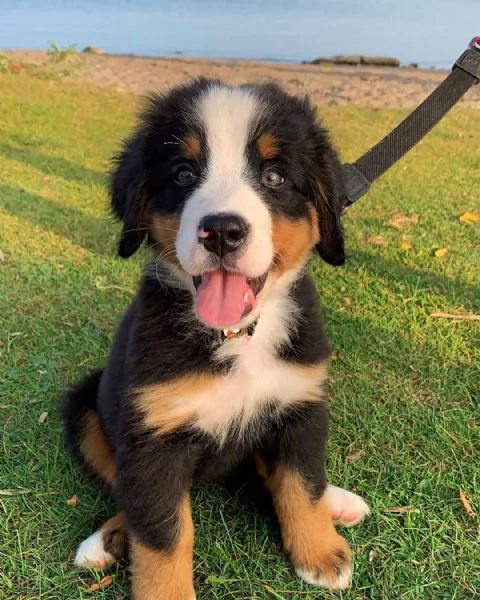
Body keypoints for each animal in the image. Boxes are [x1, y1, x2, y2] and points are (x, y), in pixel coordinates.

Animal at [63, 77, 370, 596]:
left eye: (274, 177)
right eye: (184, 173)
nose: (222, 231)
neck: (237, 336)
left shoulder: (300, 405)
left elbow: (302, 483)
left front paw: (320, 553)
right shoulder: (153, 437)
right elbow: (163, 530)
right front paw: (166, 592)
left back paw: (338, 501)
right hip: (87, 406)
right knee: (126, 491)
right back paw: (107, 539)